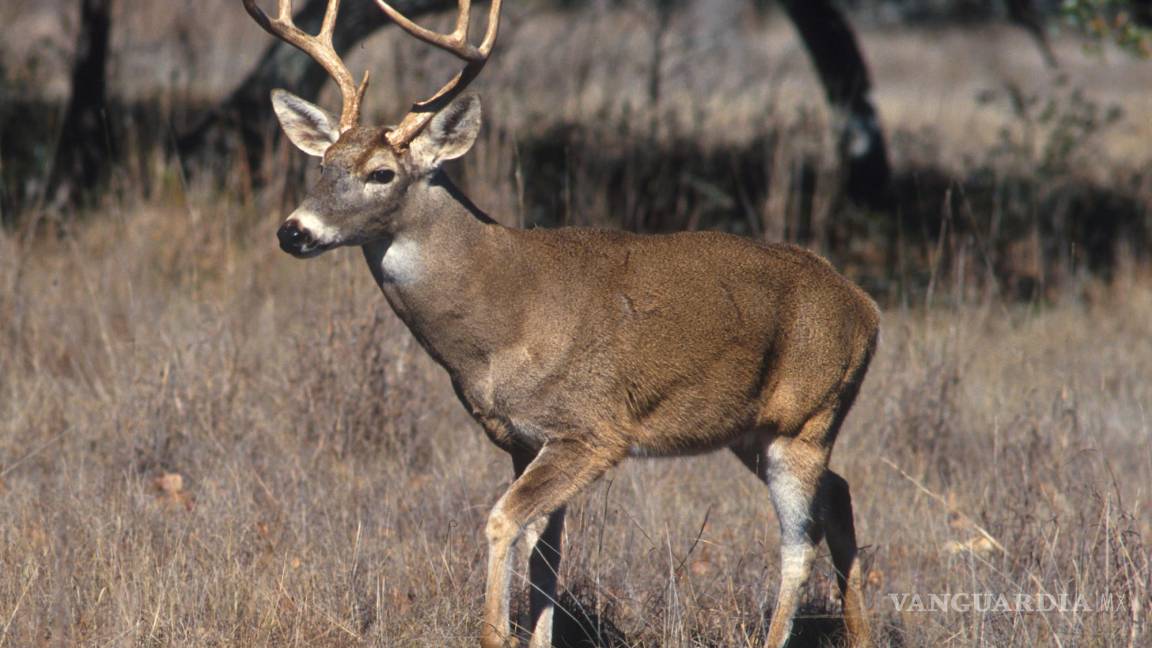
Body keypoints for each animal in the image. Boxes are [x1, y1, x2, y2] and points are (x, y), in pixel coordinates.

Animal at [240, 1, 870, 645]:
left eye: (382, 173)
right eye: (324, 163)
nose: (294, 231)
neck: (500, 320)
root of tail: (864, 306)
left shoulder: (591, 430)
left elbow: (502, 523)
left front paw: (495, 631)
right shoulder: (522, 440)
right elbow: (546, 555)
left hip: (807, 418)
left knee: (799, 544)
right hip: (752, 429)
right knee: (840, 495)